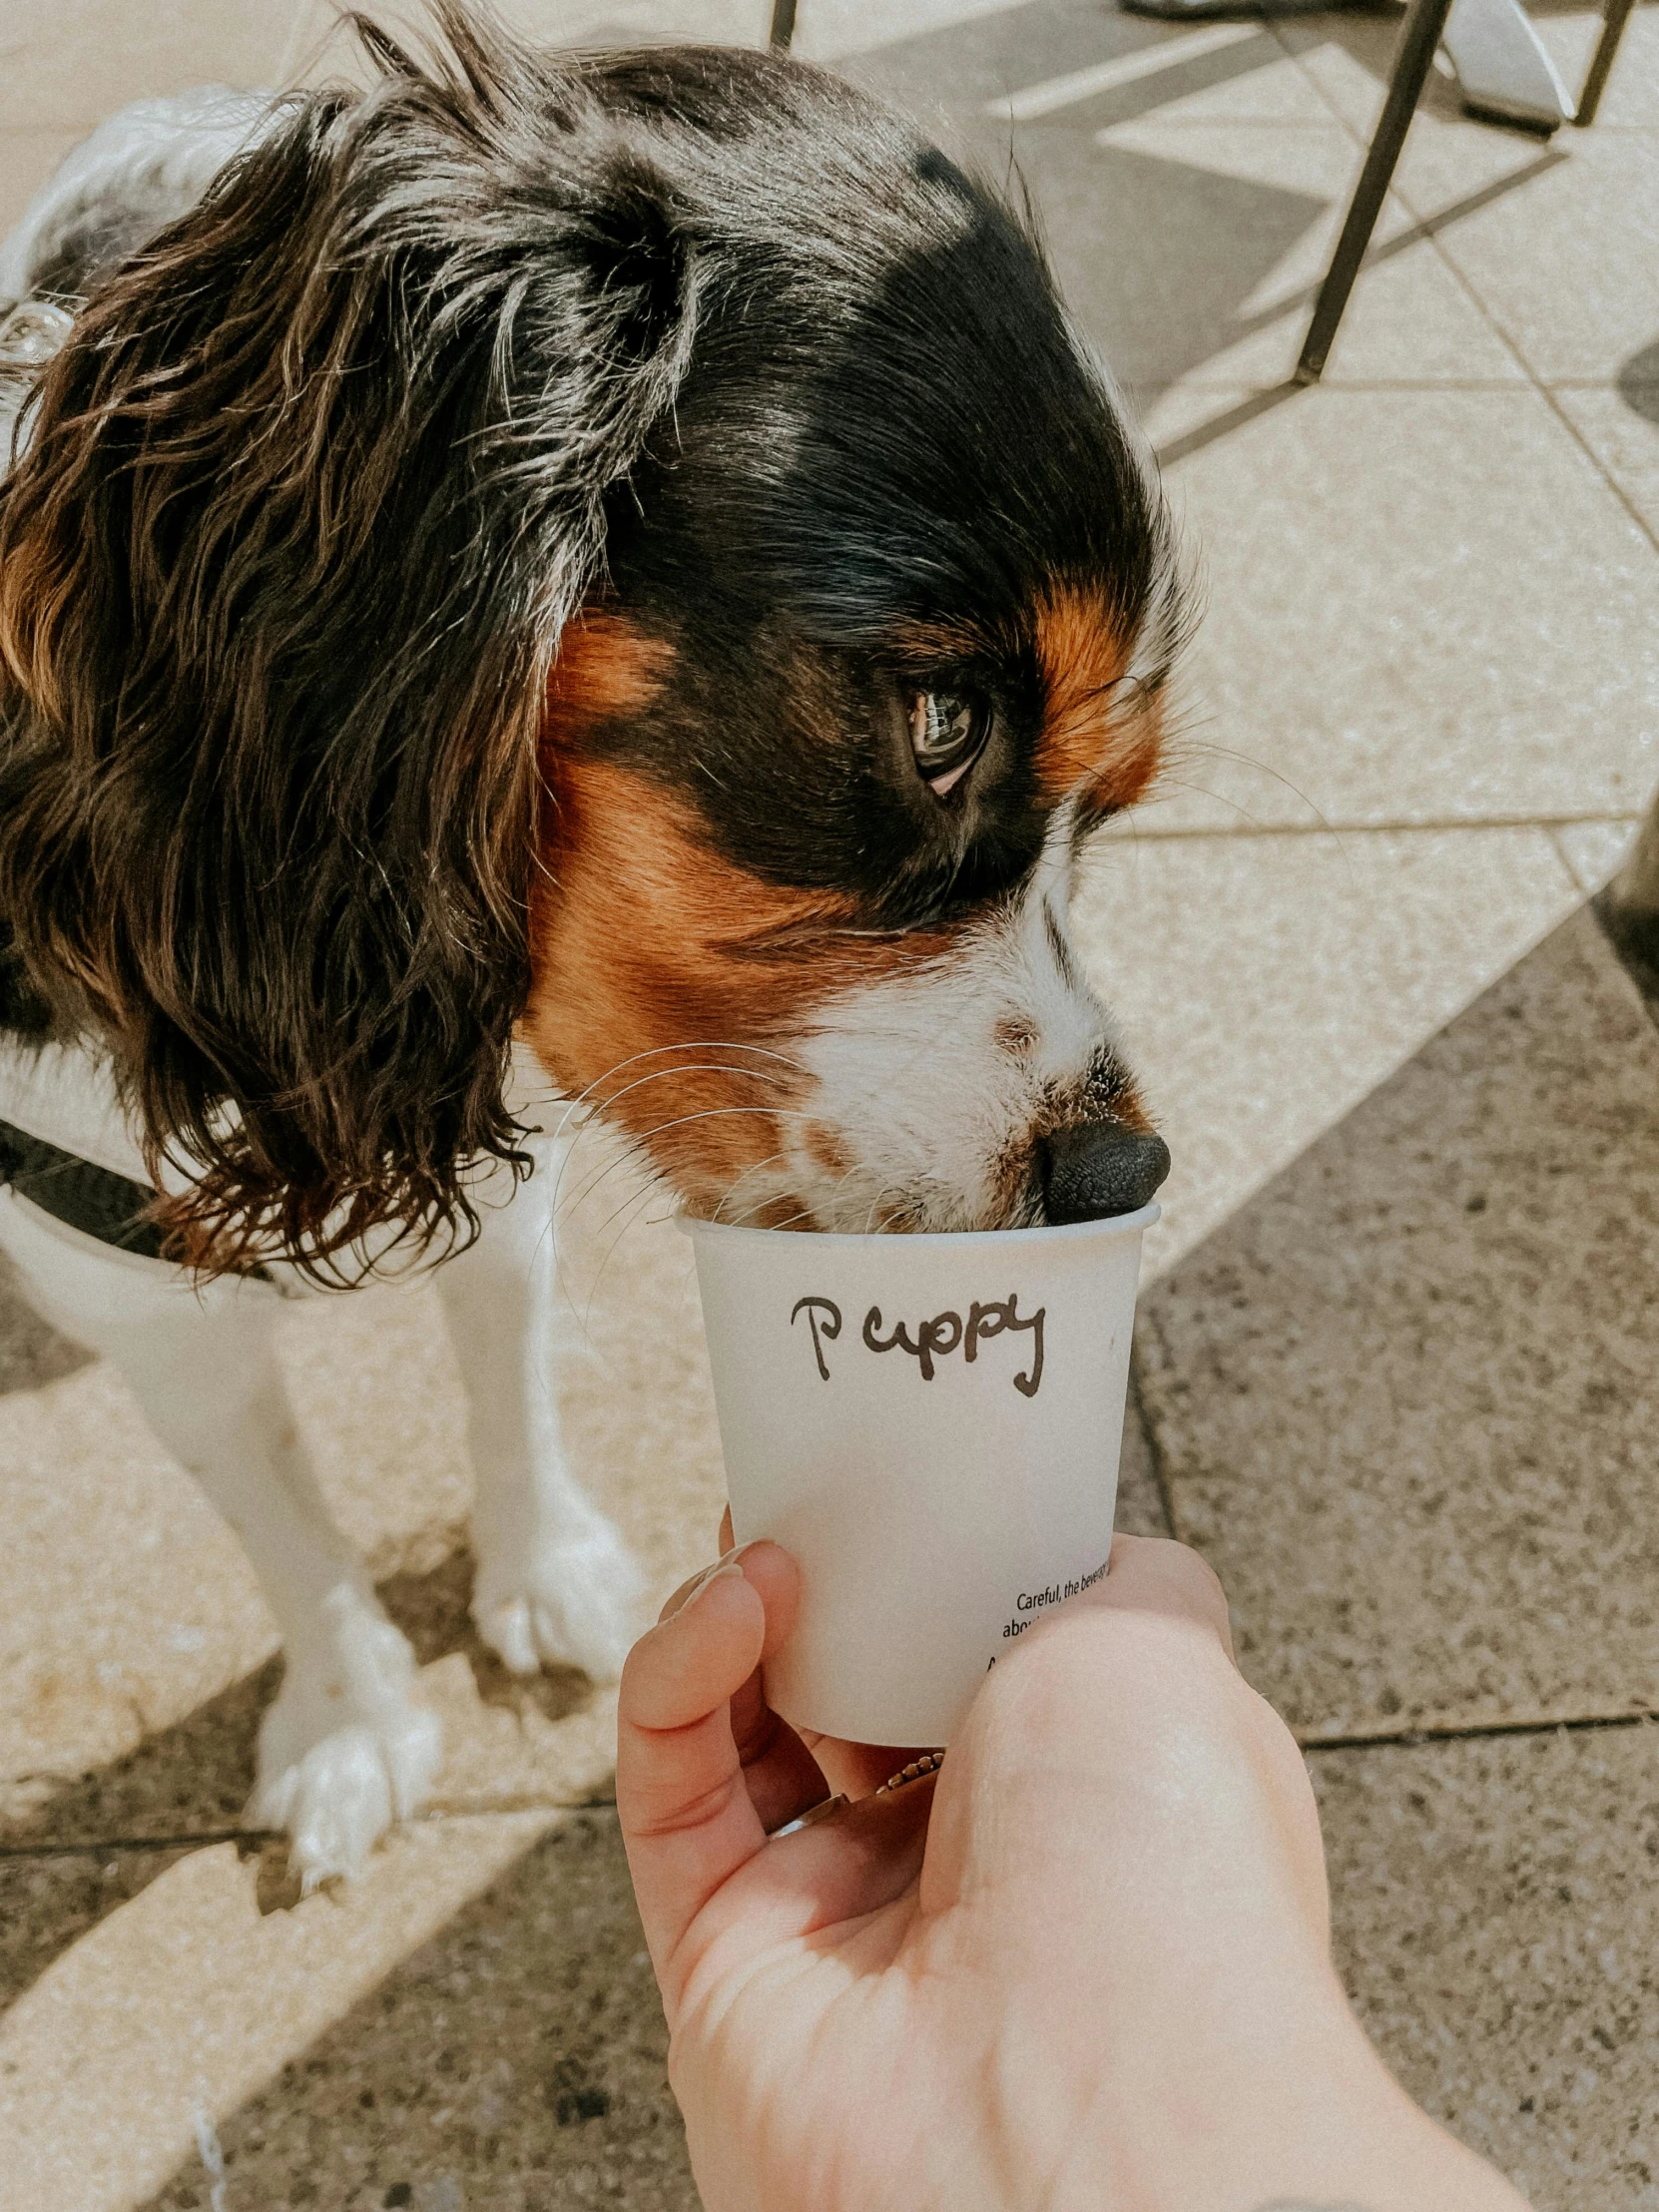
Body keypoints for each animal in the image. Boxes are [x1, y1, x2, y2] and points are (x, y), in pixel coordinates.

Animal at [3, 8, 1194, 1893]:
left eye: (1110, 808)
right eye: (938, 722)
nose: (1119, 1173)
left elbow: (506, 1371)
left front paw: (540, 1565)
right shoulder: (128, 1289)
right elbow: (277, 1516)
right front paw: (347, 1718)